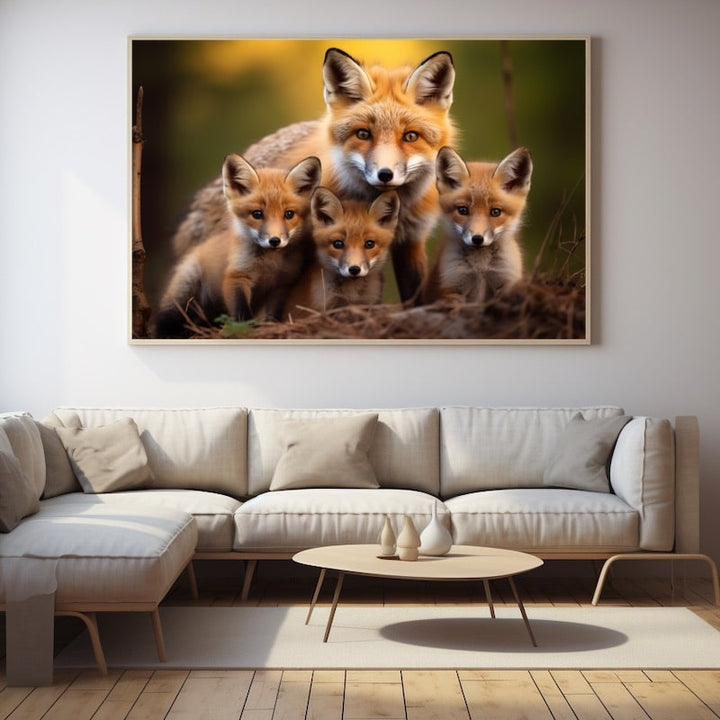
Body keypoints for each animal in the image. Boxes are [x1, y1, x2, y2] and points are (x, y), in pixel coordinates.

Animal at [153, 154, 321, 338]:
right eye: (257, 214)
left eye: (289, 214)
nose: (275, 240)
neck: (268, 264)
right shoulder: (237, 276)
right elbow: (242, 311)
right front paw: (245, 330)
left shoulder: (281, 284)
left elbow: (273, 315)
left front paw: (270, 328)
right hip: (185, 292)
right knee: (166, 320)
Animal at [419, 145, 533, 305]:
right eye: (463, 210)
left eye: (495, 212)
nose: (477, 239)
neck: (481, 266)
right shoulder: (451, 288)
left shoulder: (506, 281)